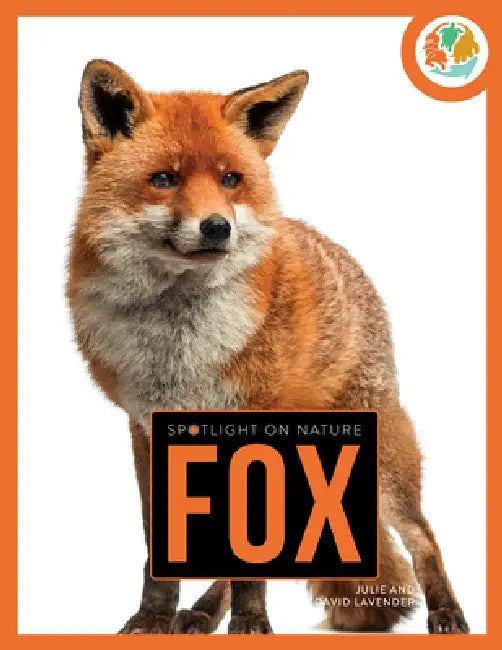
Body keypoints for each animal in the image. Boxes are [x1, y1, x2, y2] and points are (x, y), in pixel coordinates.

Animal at [67, 59, 469, 635]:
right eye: (164, 179)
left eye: (231, 179)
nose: (217, 227)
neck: (179, 348)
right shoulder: (145, 431)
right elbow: (158, 549)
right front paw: (152, 619)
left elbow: (250, 565)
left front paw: (251, 624)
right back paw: (201, 613)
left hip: (382, 460)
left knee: (424, 537)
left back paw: (447, 613)